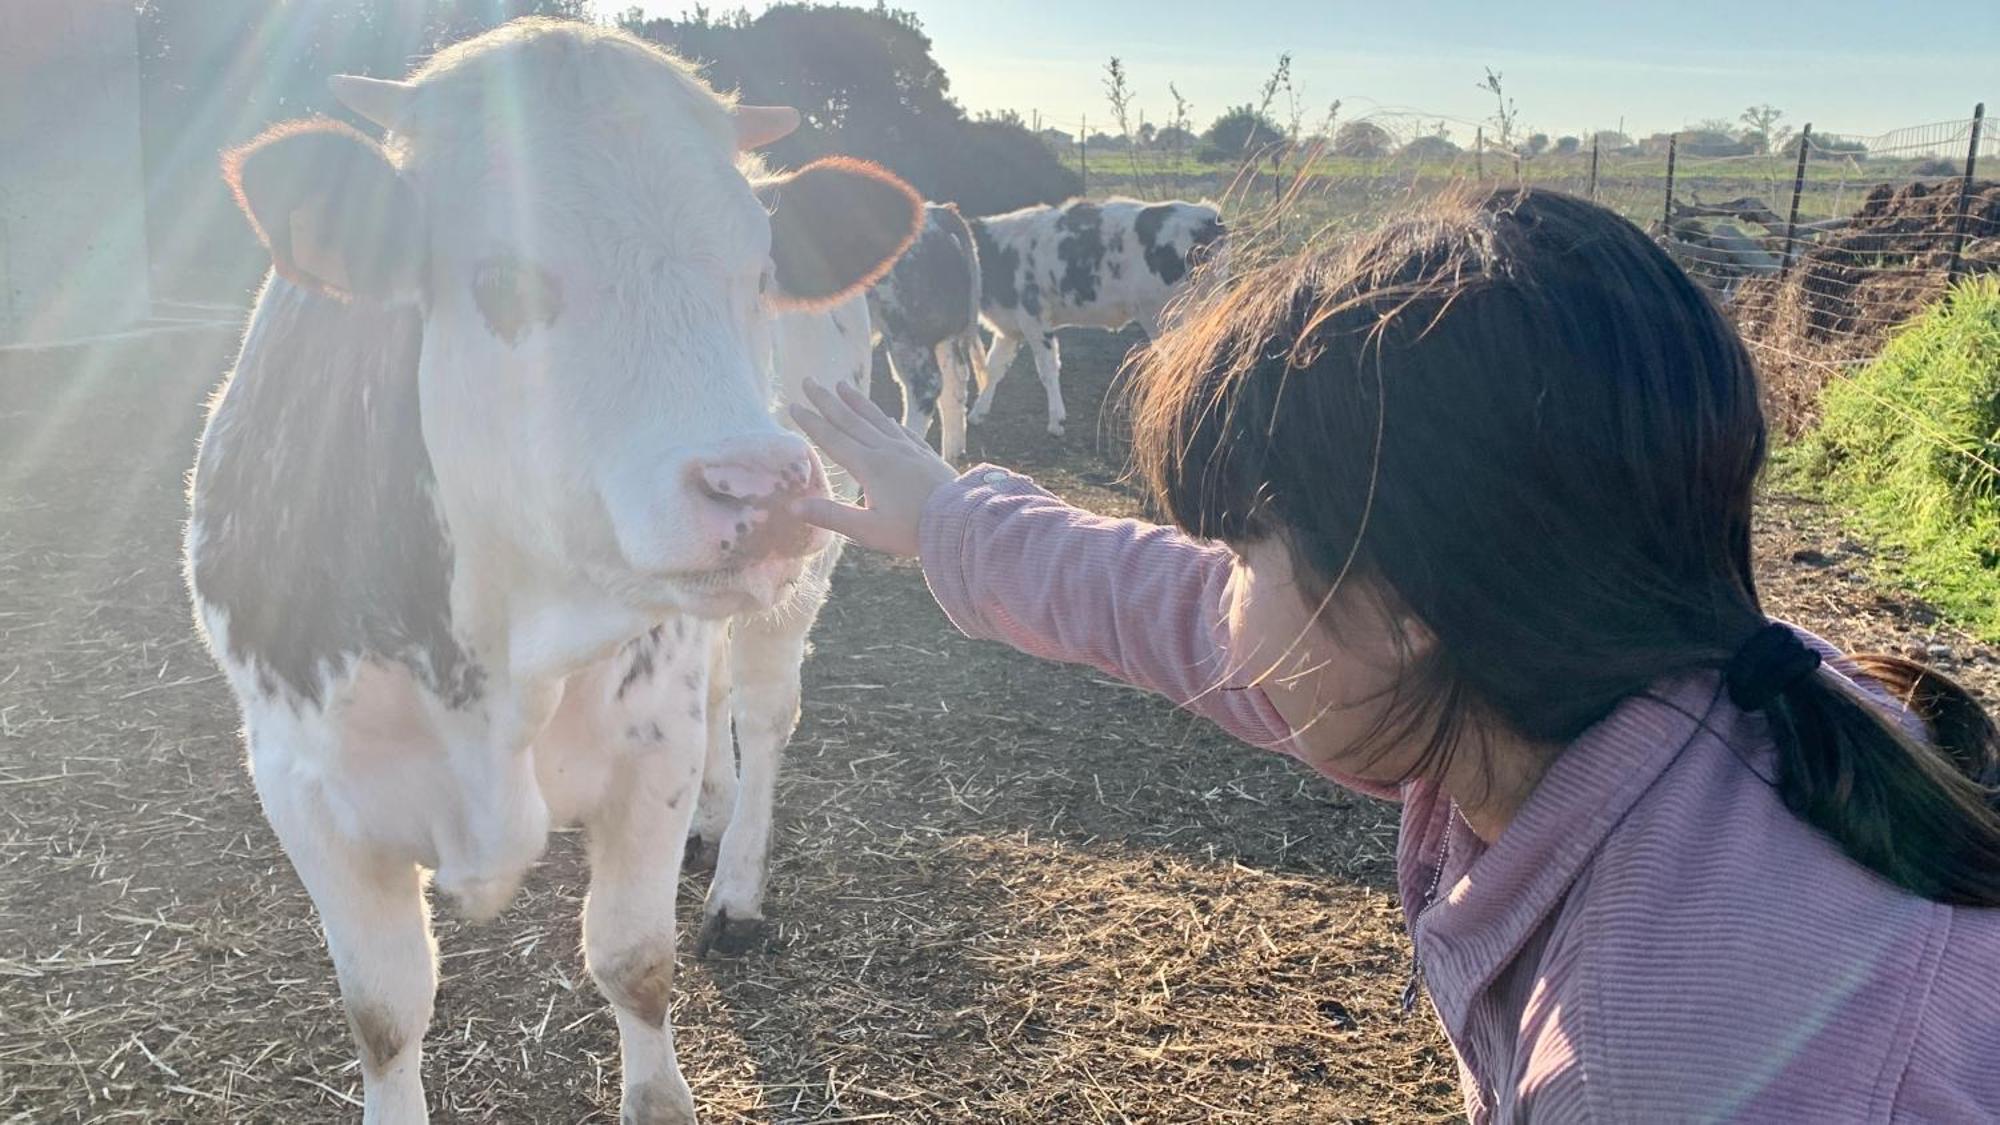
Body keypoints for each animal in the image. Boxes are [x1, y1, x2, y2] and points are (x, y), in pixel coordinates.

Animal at [184, 19, 916, 1120]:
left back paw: (736, 884)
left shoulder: (647, 753)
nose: (761, 488)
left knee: (759, 714)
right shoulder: (302, 787)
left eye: (760, 271)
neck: (493, 654)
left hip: (795, 589)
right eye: (506, 280)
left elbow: (634, 961)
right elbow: (383, 1012)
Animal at [964, 197, 1224, 434]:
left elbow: (1047, 370)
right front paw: (977, 413)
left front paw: (1056, 421)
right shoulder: (1008, 327)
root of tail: (1207, 213)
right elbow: (993, 368)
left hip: (1166, 316)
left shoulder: (1035, 320)